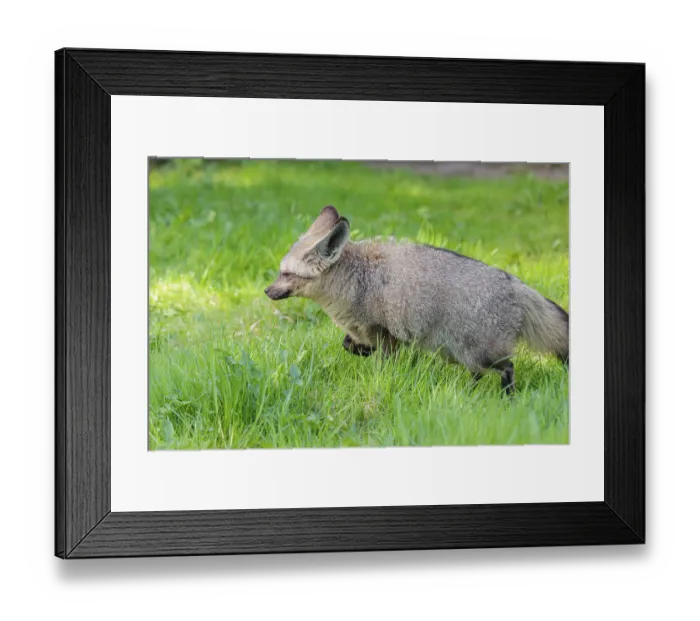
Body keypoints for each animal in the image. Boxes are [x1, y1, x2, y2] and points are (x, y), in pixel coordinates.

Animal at [265, 206, 568, 393]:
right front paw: (361, 350)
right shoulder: (372, 332)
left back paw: (508, 397)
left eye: (287, 274)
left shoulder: (385, 332)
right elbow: (348, 345)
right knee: (478, 375)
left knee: (507, 368)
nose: (267, 291)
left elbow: (381, 365)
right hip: (464, 353)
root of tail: (514, 283)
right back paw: (469, 395)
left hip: (479, 353)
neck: (357, 279)